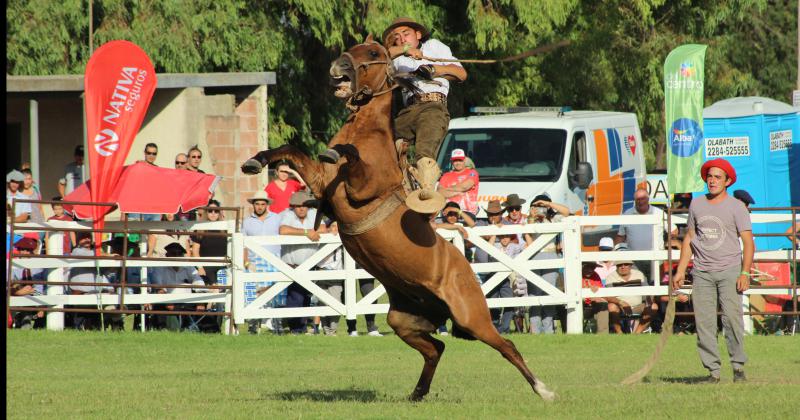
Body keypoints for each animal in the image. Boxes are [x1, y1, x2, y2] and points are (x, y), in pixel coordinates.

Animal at [241, 35, 556, 400]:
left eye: (374, 53)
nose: (338, 66)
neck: (365, 132)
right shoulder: (320, 180)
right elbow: (291, 151)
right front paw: (255, 160)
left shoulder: (362, 189)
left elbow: (350, 157)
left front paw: (337, 151)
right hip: (403, 320)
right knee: (436, 348)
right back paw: (417, 393)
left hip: (472, 317)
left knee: (507, 346)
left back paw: (544, 390)